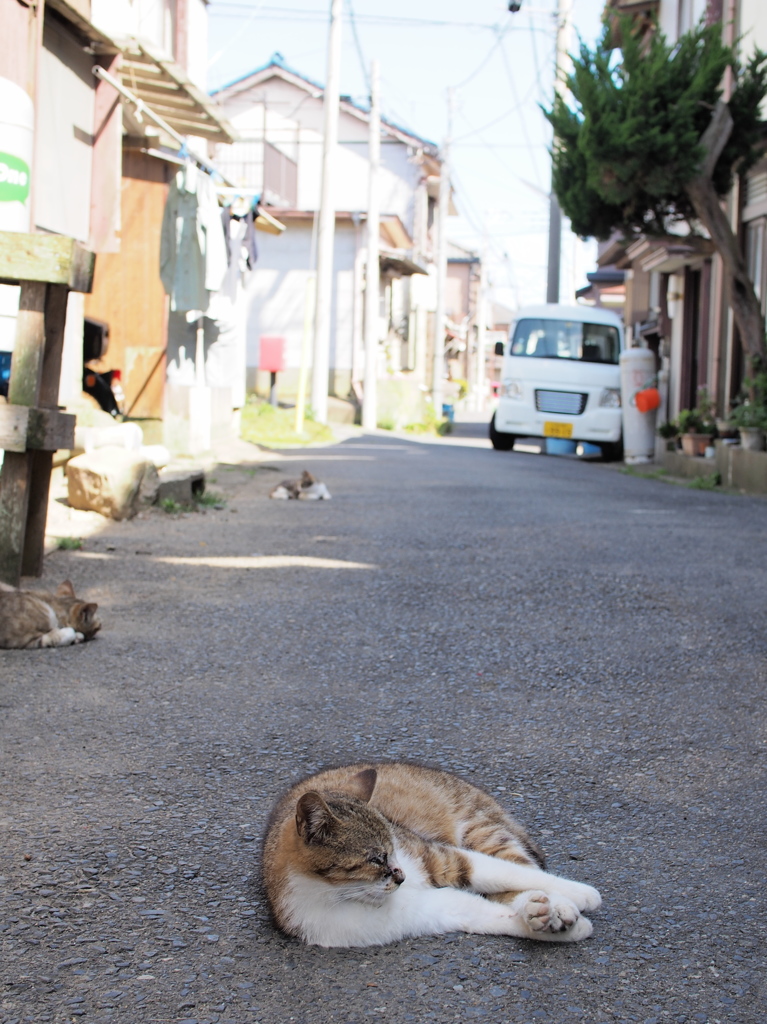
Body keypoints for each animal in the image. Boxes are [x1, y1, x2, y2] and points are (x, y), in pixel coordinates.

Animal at [260, 765, 602, 946]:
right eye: (375, 859)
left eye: (392, 849)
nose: (402, 876)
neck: (341, 893)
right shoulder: (425, 912)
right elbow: (483, 914)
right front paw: (568, 928)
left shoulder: (437, 855)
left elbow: (512, 873)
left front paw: (583, 894)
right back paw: (538, 910)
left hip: (480, 829)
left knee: (520, 864)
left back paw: (556, 905)